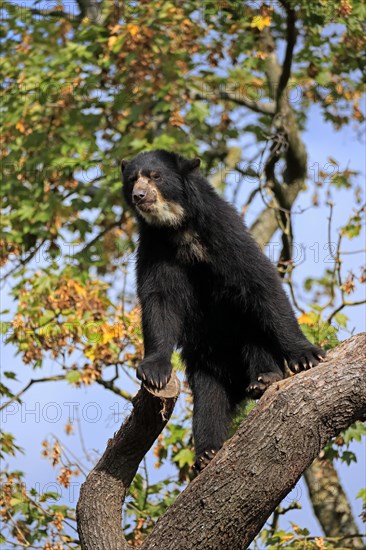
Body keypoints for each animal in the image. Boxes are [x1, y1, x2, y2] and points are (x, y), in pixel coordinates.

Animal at [121, 150, 324, 474]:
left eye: (155, 176)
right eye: (132, 180)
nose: (139, 195)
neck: (178, 227)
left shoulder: (223, 230)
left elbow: (260, 282)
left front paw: (306, 356)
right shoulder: (155, 247)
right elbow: (159, 301)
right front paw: (154, 372)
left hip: (246, 332)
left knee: (256, 337)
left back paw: (265, 379)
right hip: (203, 360)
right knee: (209, 401)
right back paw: (207, 453)